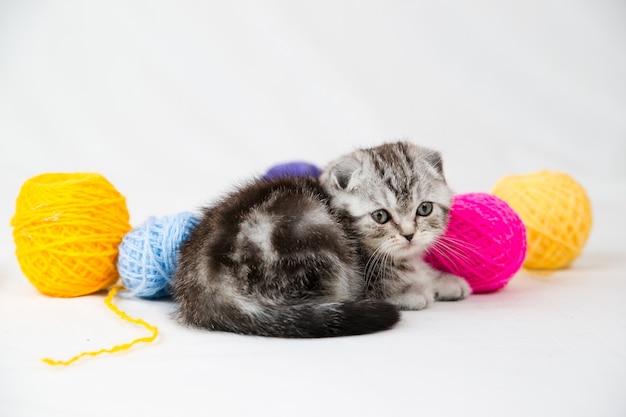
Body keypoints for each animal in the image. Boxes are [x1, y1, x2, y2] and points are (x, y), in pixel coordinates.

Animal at [172, 141, 468, 336]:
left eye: (424, 208)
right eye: (381, 216)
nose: (409, 235)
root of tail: (203, 286)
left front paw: (445, 281)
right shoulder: (366, 272)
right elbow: (386, 284)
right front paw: (416, 292)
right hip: (316, 243)